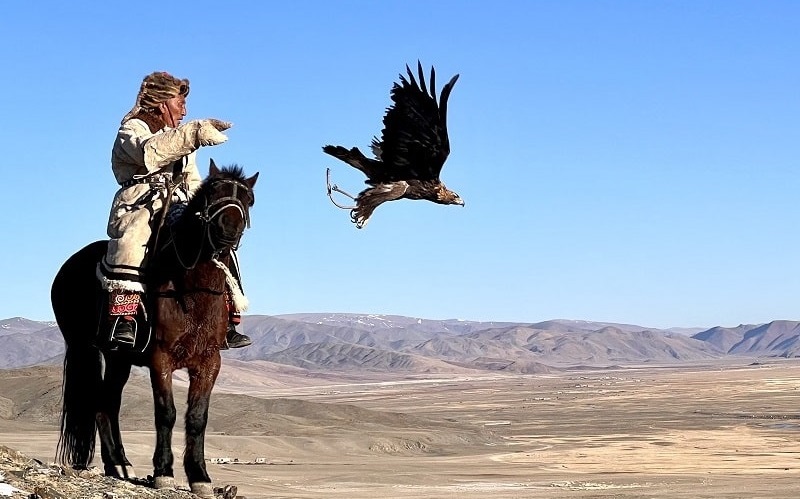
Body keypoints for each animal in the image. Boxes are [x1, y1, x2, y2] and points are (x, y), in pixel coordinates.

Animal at [49, 162, 260, 498]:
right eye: (212, 191)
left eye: (249, 199)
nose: (228, 228)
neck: (192, 290)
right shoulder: (161, 359)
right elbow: (166, 413)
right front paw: (164, 472)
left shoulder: (209, 362)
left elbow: (197, 417)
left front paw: (200, 476)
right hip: (85, 347)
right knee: (98, 401)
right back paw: (117, 464)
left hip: (119, 358)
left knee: (107, 403)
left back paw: (120, 465)